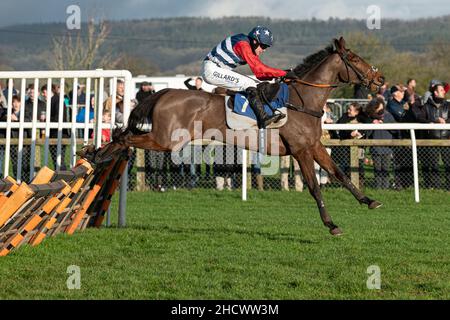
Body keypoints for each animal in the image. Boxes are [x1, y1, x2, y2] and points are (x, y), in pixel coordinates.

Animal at [96, 37, 384, 236]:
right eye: (354, 58)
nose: (380, 78)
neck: (302, 101)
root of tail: (164, 92)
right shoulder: (300, 150)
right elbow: (314, 186)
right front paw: (331, 224)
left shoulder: (314, 145)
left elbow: (340, 173)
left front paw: (368, 201)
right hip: (166, 140)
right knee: (124, 138)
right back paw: (97, 155)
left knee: (124, 135)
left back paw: (95, 154)